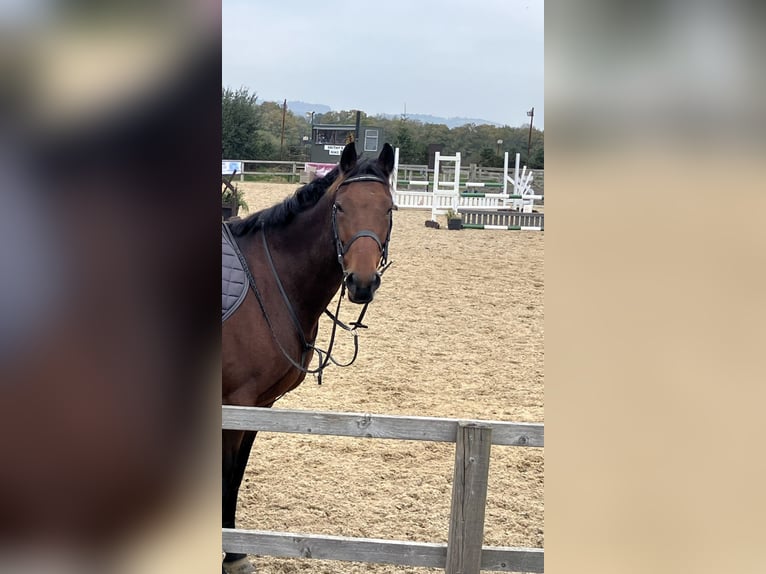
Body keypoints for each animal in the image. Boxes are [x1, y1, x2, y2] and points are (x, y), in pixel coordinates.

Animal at [221, 141, 395, 573]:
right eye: (340, 207)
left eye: (388, 208)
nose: (361, 282)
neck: (267, 279)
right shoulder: (235, 403)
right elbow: (227, 474)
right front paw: (231, 553)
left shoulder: (261, 405)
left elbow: (236, 476)